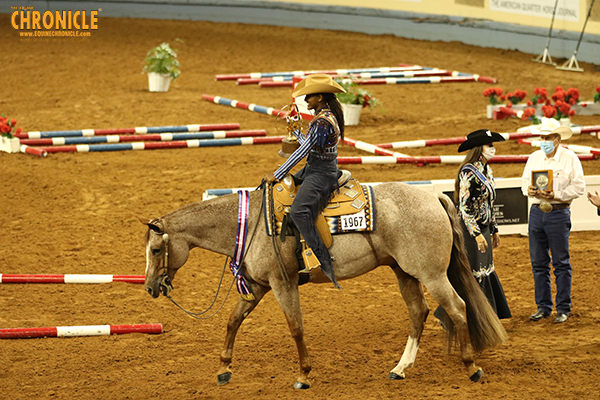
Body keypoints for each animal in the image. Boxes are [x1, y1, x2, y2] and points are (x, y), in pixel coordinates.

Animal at [141, 181, 506, 388]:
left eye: (156, 249)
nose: (150, 287)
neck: (250, 223)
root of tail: (435, 198)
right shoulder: (256, 287)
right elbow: (233, 322)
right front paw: (223, 369)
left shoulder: (282, 284)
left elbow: (296, 327)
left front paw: (303, 375)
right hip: (405, 273)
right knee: (419, 312)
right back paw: (400, 369)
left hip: (431, 274)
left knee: (457, 308)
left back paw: (472, 367)